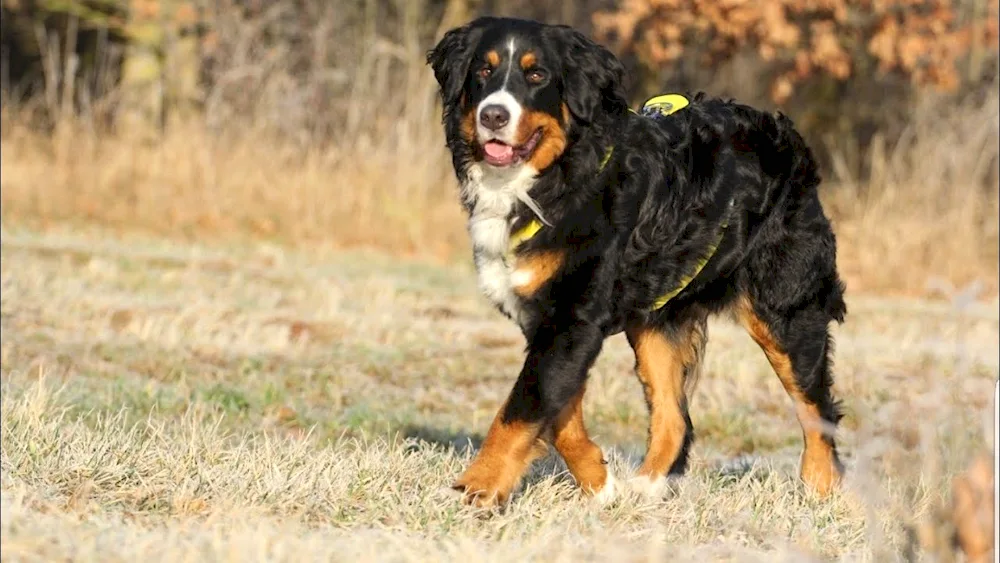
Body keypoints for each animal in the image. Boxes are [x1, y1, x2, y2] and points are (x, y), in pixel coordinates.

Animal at [426, 17, 848, 508]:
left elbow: (520, 409)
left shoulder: (572, 317)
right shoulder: (550, 321)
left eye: (536, 75)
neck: (557, 178)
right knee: (675, 416)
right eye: (483, 71)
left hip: (784, 310)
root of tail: (787, 135)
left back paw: (820, 491)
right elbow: (559, 411)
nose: (493, 115)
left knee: (815, 407)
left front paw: (475, 490)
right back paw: (646, 488)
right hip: (655, 322)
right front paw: (599, 483)